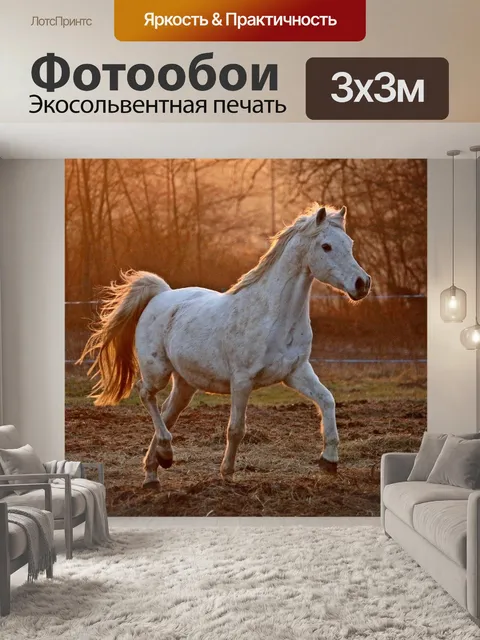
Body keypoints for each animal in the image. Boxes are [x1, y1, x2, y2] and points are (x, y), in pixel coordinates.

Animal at [79, 203, 371, 488]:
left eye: (349, 243)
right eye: (326, 246)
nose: (362, 284)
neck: (271, 315)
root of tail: (161, 295)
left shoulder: (296, 372)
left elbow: (327, 400)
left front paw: (329, 462)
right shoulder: (242, 380)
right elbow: (236, 428)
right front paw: (227, 474)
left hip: (185, 383)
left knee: (167, 412)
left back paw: (154, 471)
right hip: (157, 371)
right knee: (145, 394)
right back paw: (165, 453)